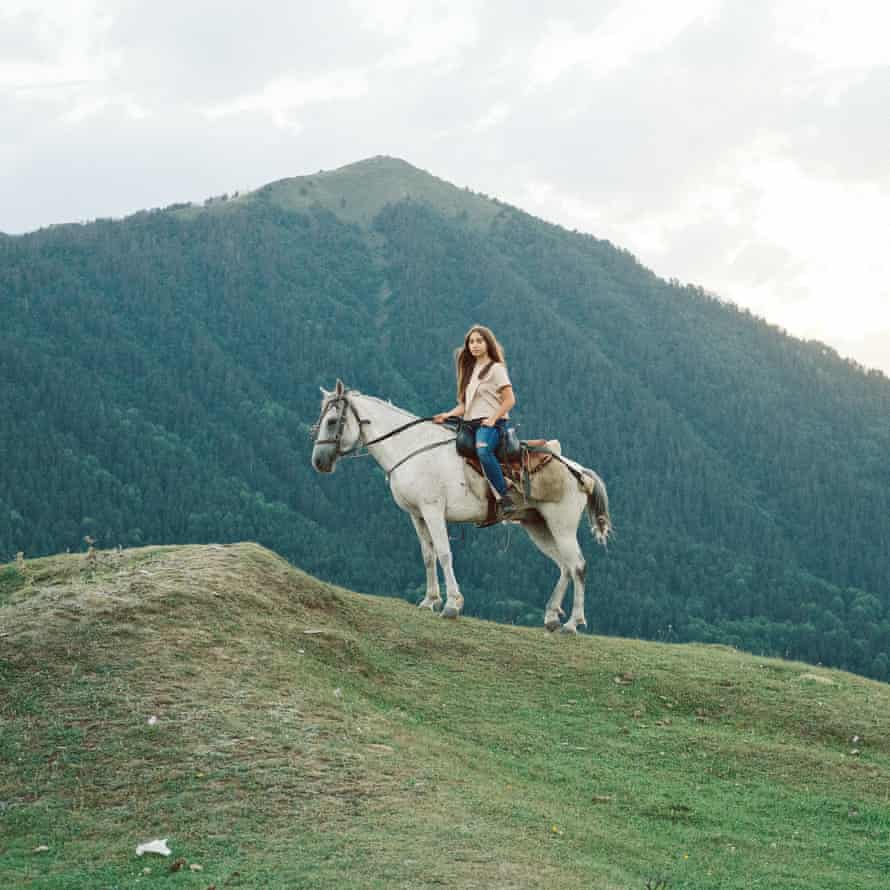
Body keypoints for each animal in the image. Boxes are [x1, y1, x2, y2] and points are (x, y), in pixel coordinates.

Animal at [308, 380, 608, 632]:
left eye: (332, 421)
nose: (319, 461)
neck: (412, 448)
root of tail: (578, 470)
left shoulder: (433, 510)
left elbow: (444, 553)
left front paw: (452, 604)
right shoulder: (417, 515)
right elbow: (428, 556)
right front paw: (430, 600)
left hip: (561, 525)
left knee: (578, 565)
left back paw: (573, 623)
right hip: (538, 525)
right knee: (564, 566)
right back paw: (552, 616)